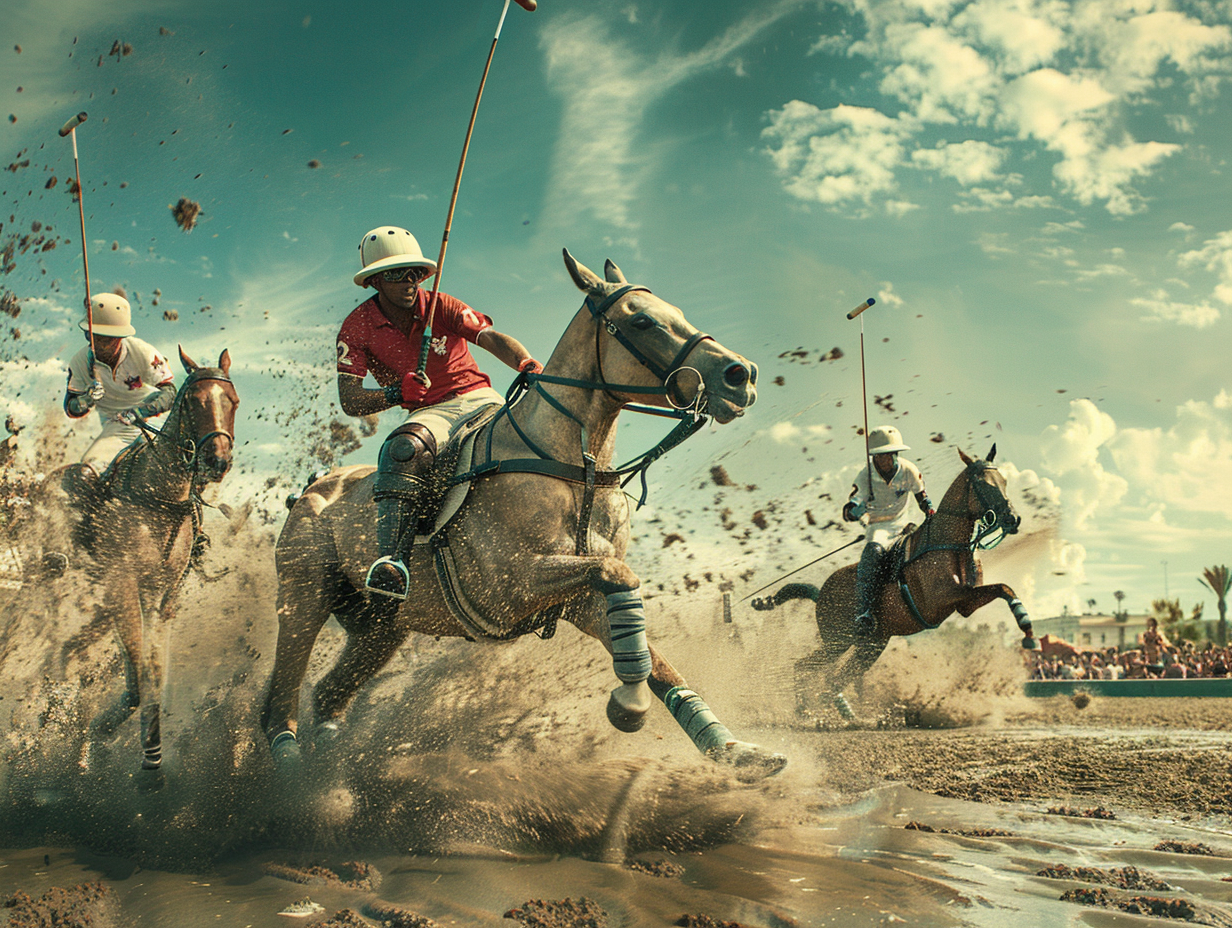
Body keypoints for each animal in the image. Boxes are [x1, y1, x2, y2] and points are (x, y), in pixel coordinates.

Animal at [77, 347, 237, 773]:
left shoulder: (166, 595)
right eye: (194, 402)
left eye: (232, 401)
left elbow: (154, 671)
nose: (217, 461)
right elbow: (138, 667)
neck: (160, 495)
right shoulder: (121, 583)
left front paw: (150, 748)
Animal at [264, 250, 788, 778]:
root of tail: (311, 486)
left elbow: (652, 652)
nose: (741, 375)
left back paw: (328, 765)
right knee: (283, 688)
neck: (575, 465)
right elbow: (620, 576)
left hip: (382, 625)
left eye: (677, 311)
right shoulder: (510, 584)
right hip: (304, 594)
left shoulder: (578, 597)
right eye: (641, 320)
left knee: (329, 692)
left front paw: (733, 750)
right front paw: (630, 706)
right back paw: (285, 763)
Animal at [749, 446, 1039, 714]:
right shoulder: (945, 598)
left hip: (870, 644)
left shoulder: (964, 604)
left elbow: (1005, 588)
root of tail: (820, 593)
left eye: (1004, 481)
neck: (948, 543)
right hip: (838, 639)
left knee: (836, 678)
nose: (1013, 519)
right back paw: (806, 712)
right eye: (983, 484)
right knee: (804, 666)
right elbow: (1002, 587)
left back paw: (845, 713)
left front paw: (1028, 630)